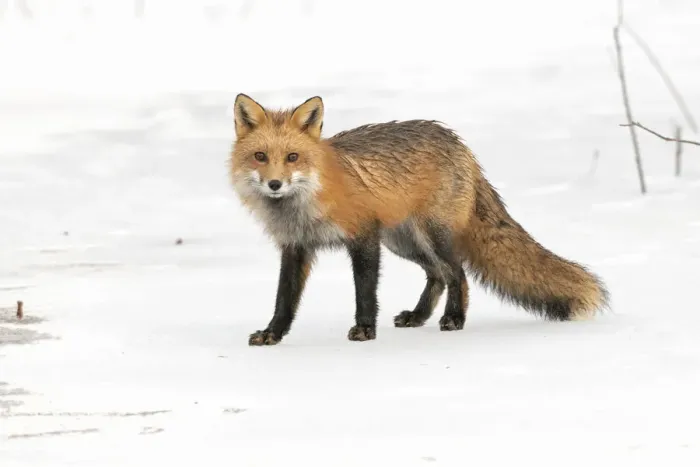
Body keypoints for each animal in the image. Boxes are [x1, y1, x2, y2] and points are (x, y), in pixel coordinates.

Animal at [229, 93, 610, 346]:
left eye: (292, 157)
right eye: (260, 156)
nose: (275, 184)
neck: (304, 207)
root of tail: (460, 144)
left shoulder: (364, 236)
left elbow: (365, 292)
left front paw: (365, 329)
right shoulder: (295, 247)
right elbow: (284, 299)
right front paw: (273, 334)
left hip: (432, 235)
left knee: (458, 273)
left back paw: (454, 318)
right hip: (403, 242)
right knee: (437, 275)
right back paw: (419, 316)